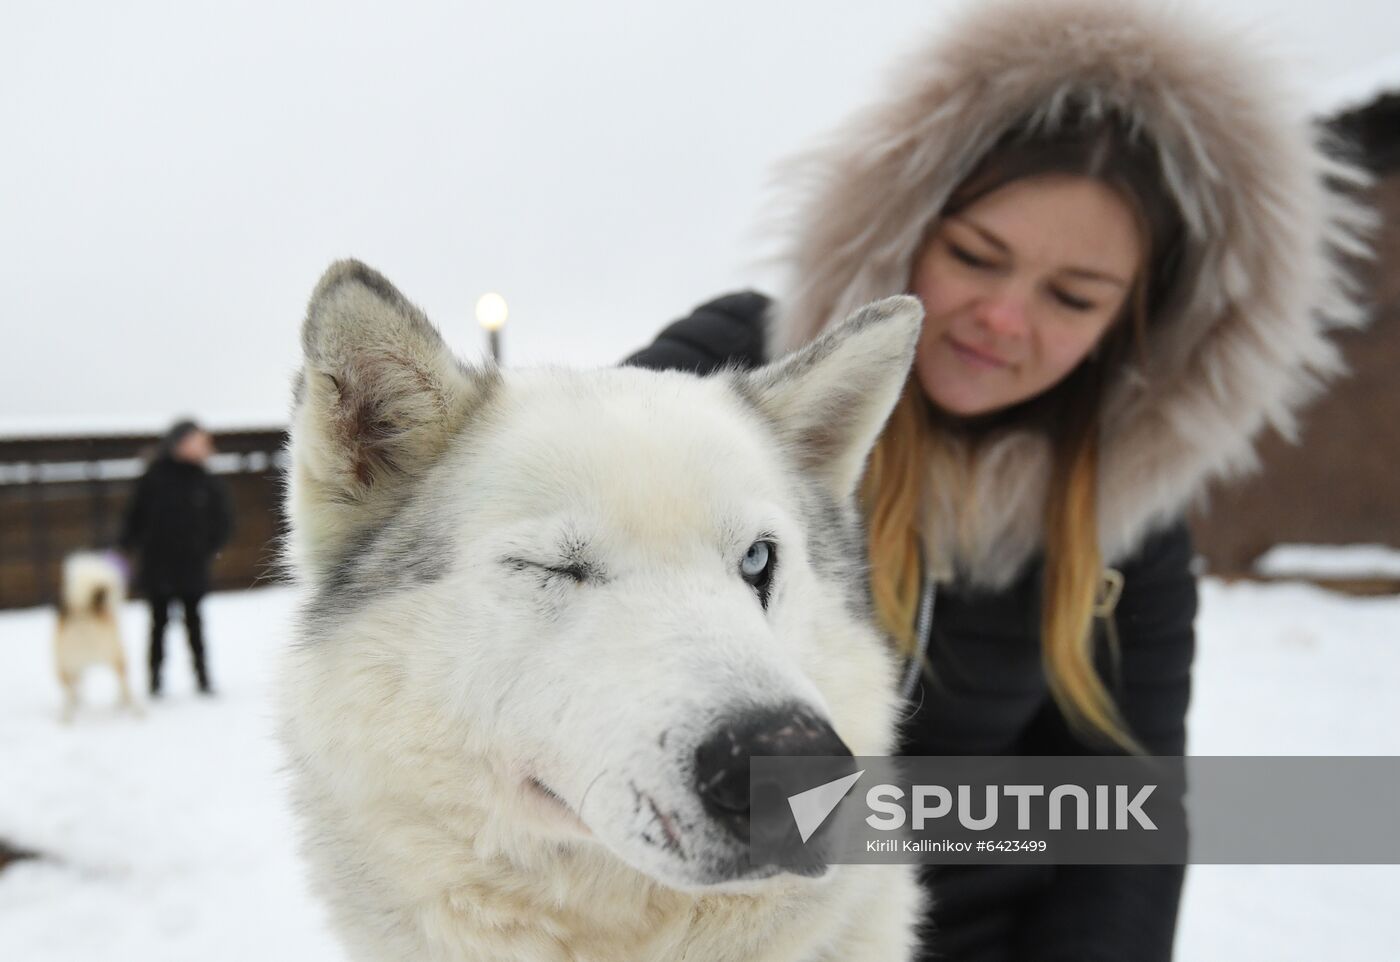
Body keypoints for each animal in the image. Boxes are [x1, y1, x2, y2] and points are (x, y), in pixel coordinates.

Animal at [54, 548, 139, 722]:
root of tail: (83, 611)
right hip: (113, 658)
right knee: (125, 687)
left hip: (66, 667)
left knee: (69, 693)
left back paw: (66, 718)